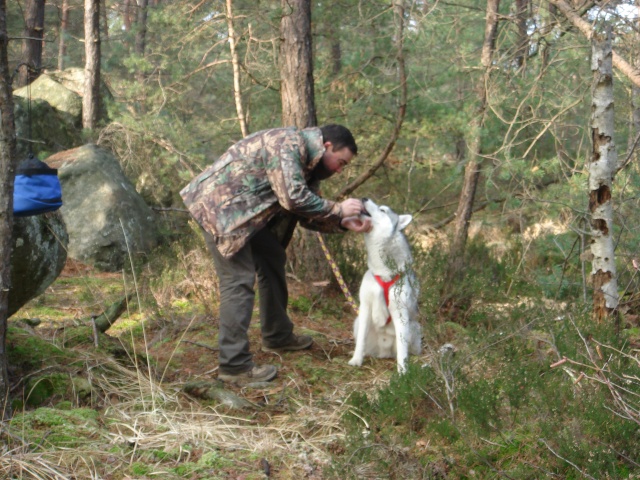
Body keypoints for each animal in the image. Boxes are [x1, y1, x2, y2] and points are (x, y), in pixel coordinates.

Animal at [348, 197, 422, 374]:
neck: (383, 272)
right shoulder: (365, 307)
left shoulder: (400, 313)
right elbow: (360, 341)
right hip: (357, 321)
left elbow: (402, 350)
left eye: (382, 210)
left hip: (414, 327)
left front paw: (403, 372)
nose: (364, 198)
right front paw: (356, 359)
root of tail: (384, 351)